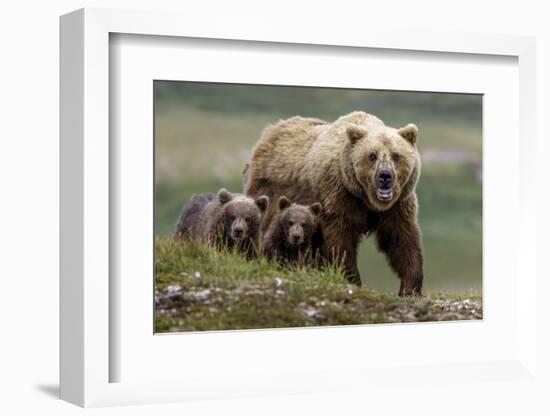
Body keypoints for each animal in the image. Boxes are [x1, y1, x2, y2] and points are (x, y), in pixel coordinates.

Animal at [244, 110, 424, 296]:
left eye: (396, 155)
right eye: (372, 155)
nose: (385, 176)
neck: (366, 199)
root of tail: (270, 131)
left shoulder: (398, 204)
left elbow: (401, 239)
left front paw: (410, 286)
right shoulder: (339, 195)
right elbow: (340, 240)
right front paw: (352, 279)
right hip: (272, 191)